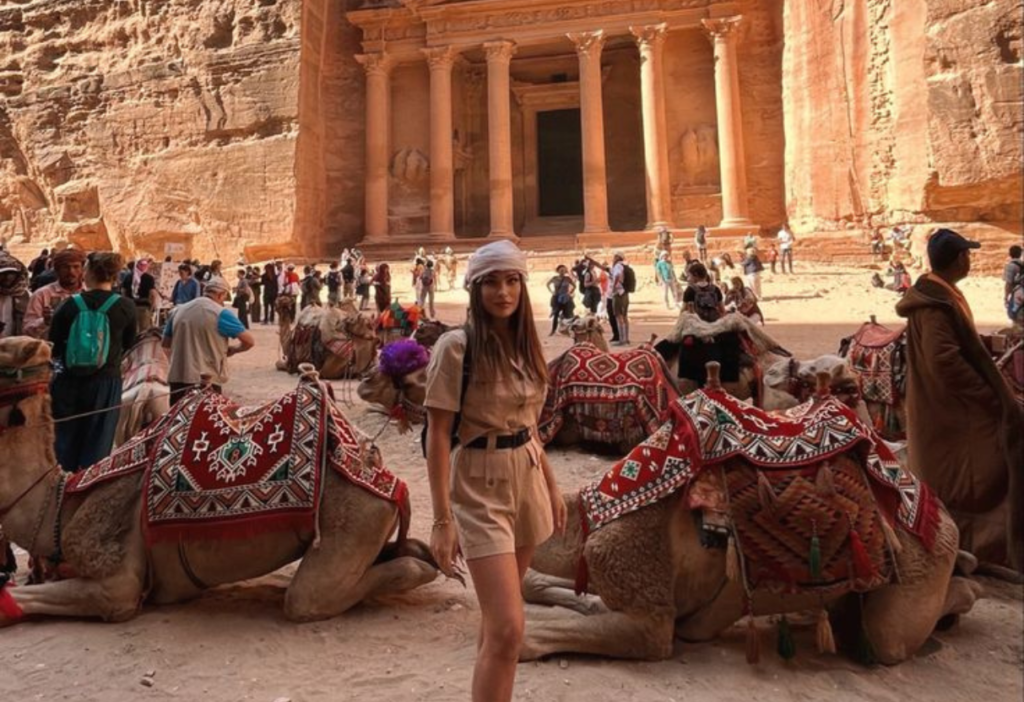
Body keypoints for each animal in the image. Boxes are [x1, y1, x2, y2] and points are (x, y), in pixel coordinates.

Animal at [0, 337, 436, 630]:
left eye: (4, 349)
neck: (63, 503)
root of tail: (378, 469)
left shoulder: (115, 588)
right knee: (409, 552)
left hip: (351, 522)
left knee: (316, 595)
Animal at [520, 366, 983, 667]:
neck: (591, 515)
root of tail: (930, 506)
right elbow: (535, 584)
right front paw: (579, 601)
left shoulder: (648, 611)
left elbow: (531, 636)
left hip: (916, 570)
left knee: (890, 637)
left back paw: (966, 591)